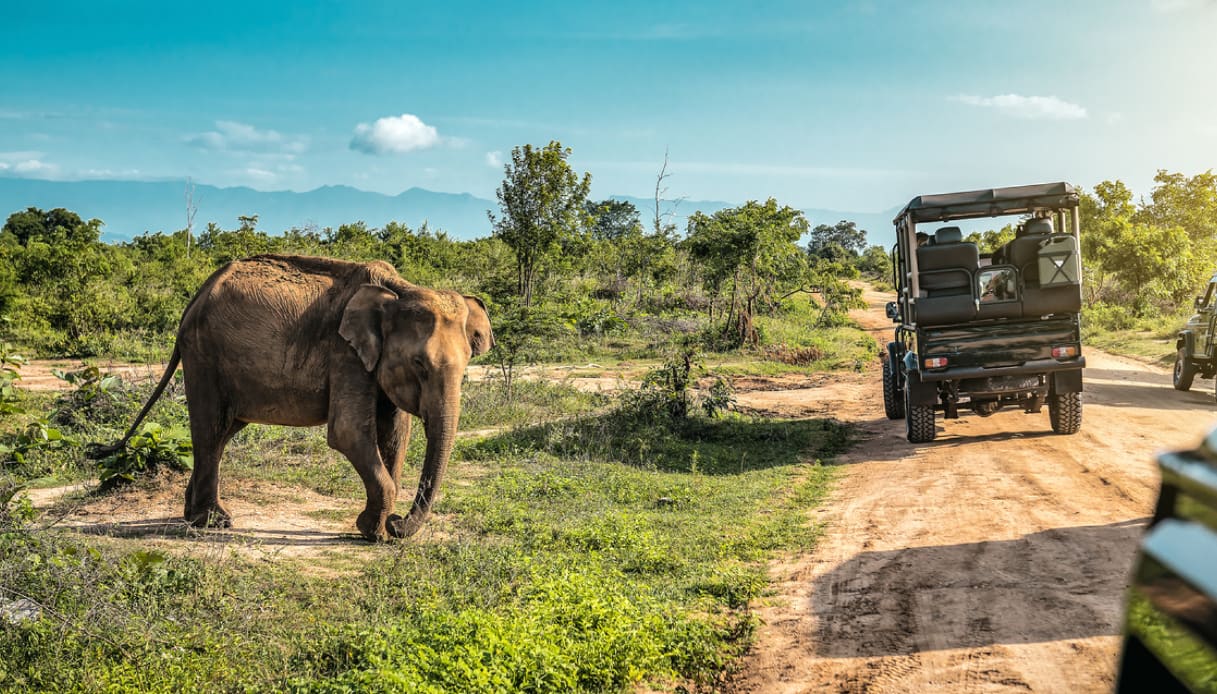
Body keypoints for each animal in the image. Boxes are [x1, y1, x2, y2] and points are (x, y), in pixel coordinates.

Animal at [94, 254, 491, 540]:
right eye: (419, 365)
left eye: (467, 366)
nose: (398, 522)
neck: (400, 289)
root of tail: (194, 299)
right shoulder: (344, 353)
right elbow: (348, 433)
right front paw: (373, 531)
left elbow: (395, 435)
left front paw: (380, 533)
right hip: (203, 355)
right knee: (209, 429)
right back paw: (212, 523)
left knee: (223, 432)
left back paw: (197, 517)